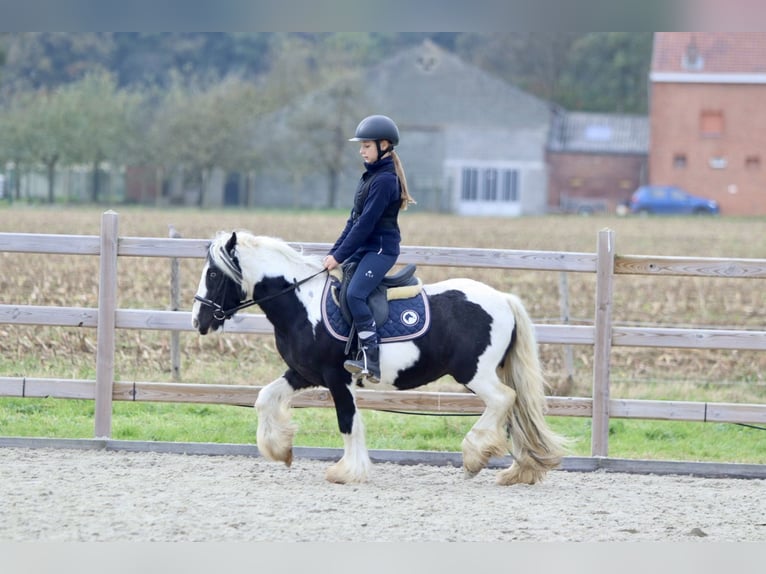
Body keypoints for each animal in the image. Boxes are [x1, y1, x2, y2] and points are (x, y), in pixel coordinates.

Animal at [190, 230, 568, 486]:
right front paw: (279, 450)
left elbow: (348, 421)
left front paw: (347, 471)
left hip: (476, 373)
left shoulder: (337, 377)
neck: (303, 304)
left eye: (213, 274)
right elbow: (265, 398)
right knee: (514, 412)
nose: (198, 320)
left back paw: (475, 455)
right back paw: (516, 471)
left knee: (504, 400)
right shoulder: (304, 374)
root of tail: (503, 299)